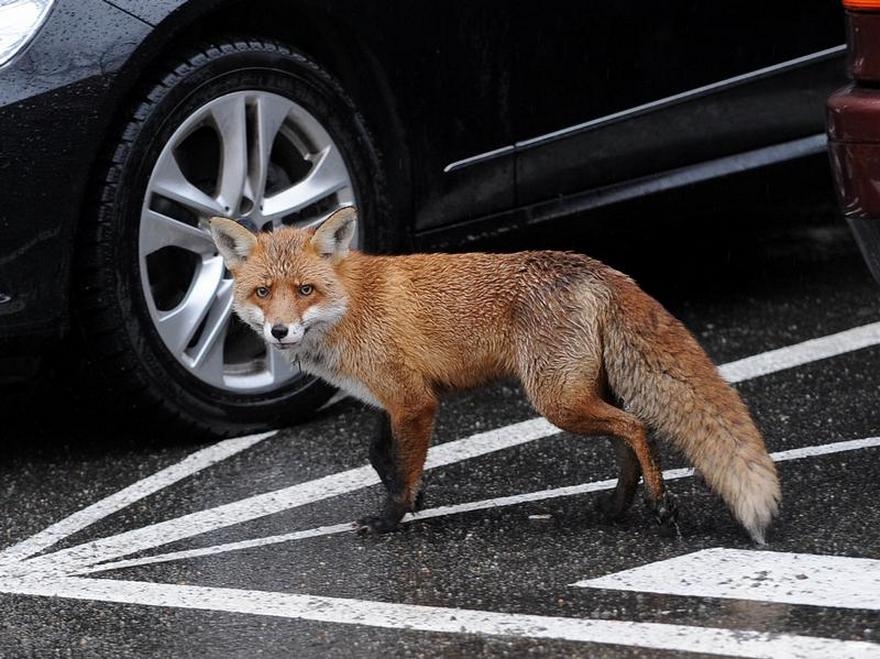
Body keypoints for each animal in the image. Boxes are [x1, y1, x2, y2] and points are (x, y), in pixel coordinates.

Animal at [210, 209, 780, 544]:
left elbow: (399, 470)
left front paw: (391, 517)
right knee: (628, 437)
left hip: (557, 401)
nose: (280, 331)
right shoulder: (392, 398)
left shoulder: (414, 402)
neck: (349, 306)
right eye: (264, 292)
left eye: (305, 290)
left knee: (638, 427)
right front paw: (414, 495)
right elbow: (379, 455)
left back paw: (661, 506)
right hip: (582, 394)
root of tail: (595, 266)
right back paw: (617, 506)